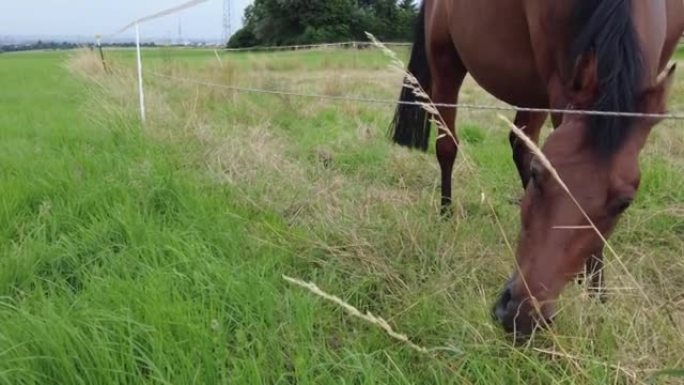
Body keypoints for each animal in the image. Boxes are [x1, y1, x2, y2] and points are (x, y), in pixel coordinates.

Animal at [390, 0, 684, 336]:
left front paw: (596, 293)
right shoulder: (559, 83)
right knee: (447, 145)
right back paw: (446, 214)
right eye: (538, 175)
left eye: (624, 203)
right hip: (447, 63)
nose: (521, 314)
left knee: (520, 142)